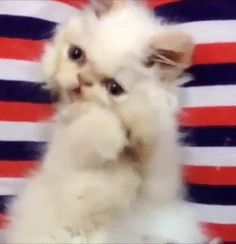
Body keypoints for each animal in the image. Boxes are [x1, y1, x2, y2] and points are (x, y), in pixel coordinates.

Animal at [6, 0, 207, 243]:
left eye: (113, 87)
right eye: (76, 54)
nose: (81, 81)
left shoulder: (161, 186)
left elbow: (155, 140)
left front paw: (136, 118)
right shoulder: (62, 162)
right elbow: (89, 135)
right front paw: (112, 133)